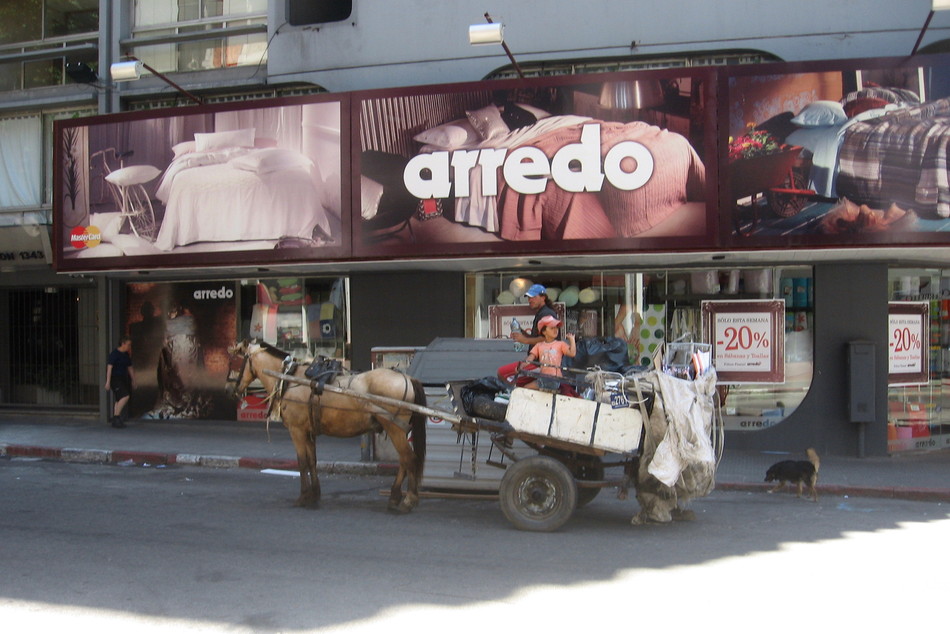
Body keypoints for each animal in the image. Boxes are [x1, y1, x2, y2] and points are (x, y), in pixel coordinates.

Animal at [227, 338, 428, 512]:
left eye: (236, 362)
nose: (229, 389)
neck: (289, 378)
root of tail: (407, 379)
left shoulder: (297, 430)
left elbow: (301, 462)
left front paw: (303, 496)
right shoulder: (309, 432)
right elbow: (312, 461)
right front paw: (314, 495)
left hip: (394, 428)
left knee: (409, 459)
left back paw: (408, 499)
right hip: (398, 429)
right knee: (404, 461)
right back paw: (395, 496)